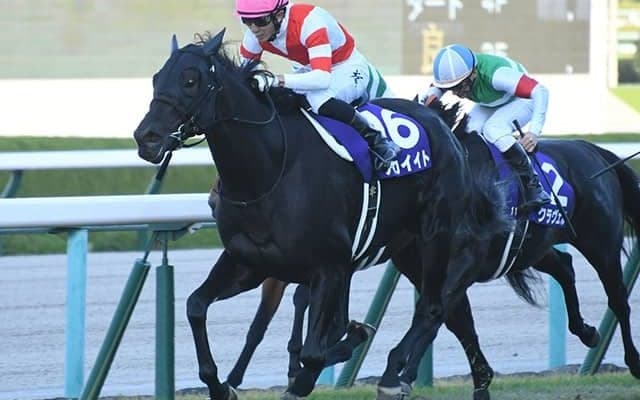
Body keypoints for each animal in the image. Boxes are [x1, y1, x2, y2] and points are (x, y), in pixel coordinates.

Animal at [133, 29, 512, 400]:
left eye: (190, 80)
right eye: (156, 78)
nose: (146, 137)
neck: (269, 172)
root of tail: (444, 127)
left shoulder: (329, 267)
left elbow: (316, 350)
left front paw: (308, 374)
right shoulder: (249, 263)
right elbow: (195, 306)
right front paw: (220, 385)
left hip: (436, 237)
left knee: (432, 307)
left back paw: (393, 376)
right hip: (407, 250)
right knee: (452, 310)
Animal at [374, 99, 640, 398]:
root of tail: (591, 149)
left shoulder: (463, 264)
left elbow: (434, 314)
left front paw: (399, 374)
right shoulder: (421, 270)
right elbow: (456, 321)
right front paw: (480, 382)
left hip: (601, 242)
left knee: (618, 300)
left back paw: (633, 361)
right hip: (534, 247)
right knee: (564, 266)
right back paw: (586, 331)